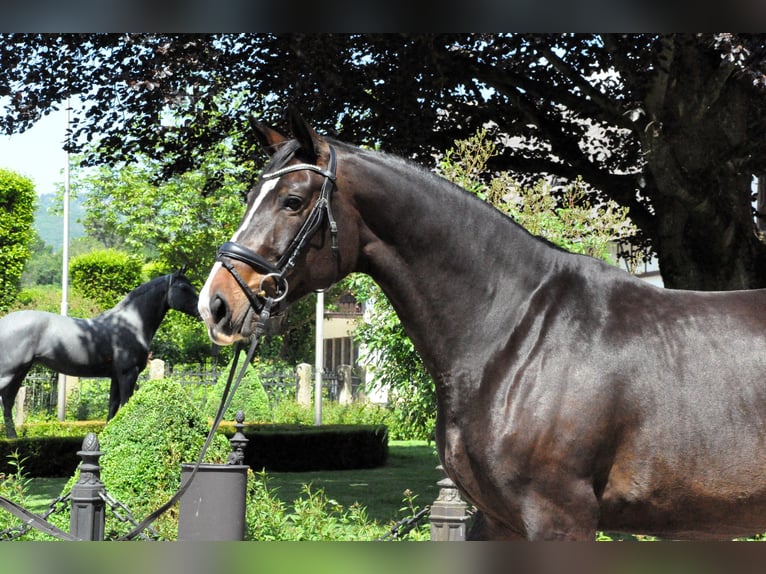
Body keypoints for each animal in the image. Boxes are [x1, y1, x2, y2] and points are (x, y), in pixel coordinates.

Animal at [0, 272, 201, 438]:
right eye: (184, 288)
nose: (201, 311)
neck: (130, 324)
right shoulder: (128, 373)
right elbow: (125, 404)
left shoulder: (116, 376)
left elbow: (112, 407)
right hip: (9, 372)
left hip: (20, 372)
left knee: (8, 401)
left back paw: (13, 437)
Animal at [200, 110, 766, 544]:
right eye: (250, 197)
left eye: (292, 201)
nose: (216, 304)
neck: (514, 334)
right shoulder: (499, 521)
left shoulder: (559, 519)